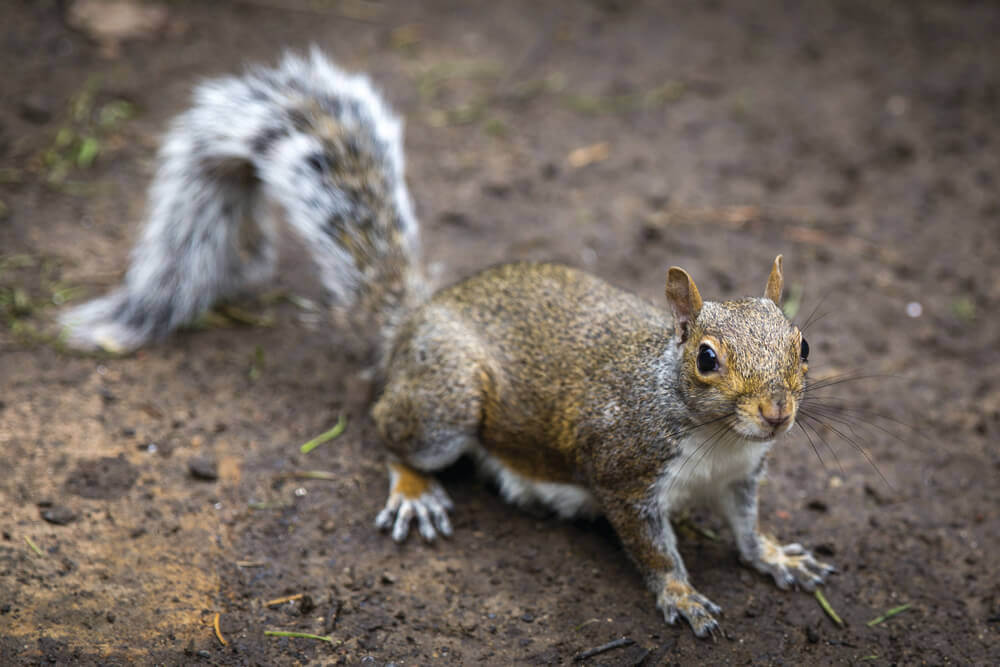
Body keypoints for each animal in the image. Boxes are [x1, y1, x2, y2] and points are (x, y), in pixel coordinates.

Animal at [58, 49, 832, 636]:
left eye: (803, 344)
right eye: (705, 359)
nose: (777, 414)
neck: (712, 437)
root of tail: (413, 320)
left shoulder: (743, 474)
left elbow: (746, 526)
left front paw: (776, 556)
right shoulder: (625, 474)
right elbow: (653, 551)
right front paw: (681, 596)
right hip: (447, 404)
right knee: (389, 428)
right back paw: (413, 490)